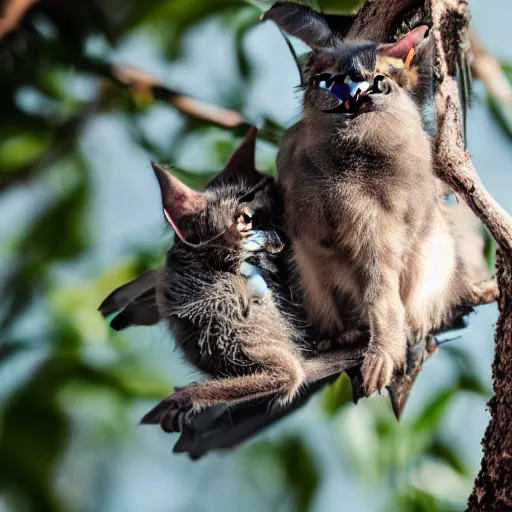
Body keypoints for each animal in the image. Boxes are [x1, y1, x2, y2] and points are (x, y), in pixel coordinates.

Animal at [262, 2, 494, 398]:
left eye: (381, 74)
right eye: (328, 76)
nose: (359, 75)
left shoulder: (381, 224)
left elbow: (380, 290)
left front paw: (382, 353)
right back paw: (343, 338)